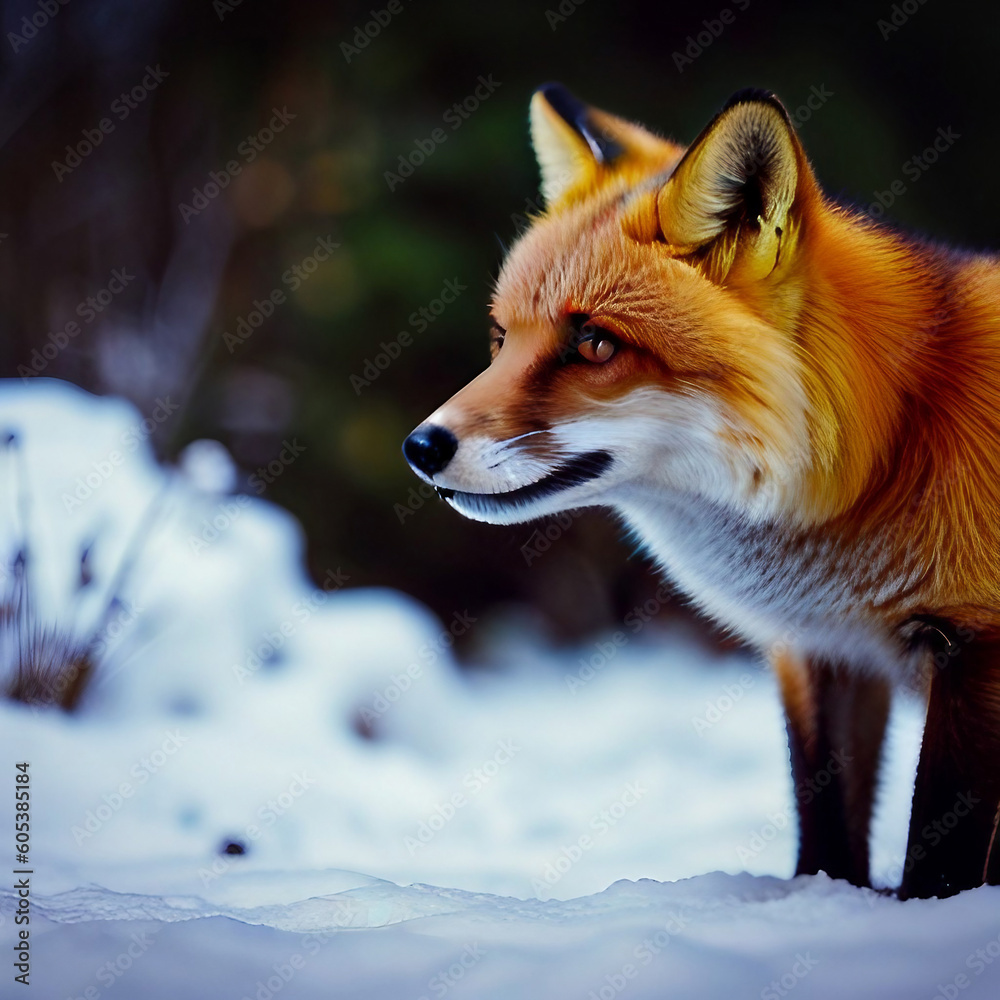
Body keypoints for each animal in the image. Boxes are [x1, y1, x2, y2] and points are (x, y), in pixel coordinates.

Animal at [402, 83, 1000, 900]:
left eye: (595, 344)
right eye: (501, 340)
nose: (421, 447)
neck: (897, 441)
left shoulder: (974, 646)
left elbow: (938, 862)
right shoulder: (823, 648)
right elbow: (825, 832)